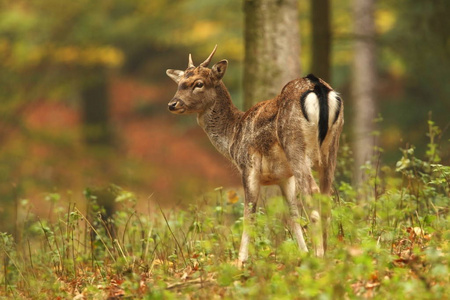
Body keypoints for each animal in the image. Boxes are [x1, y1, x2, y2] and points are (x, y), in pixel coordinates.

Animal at [166, 45, 344, 264]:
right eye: (179, 83)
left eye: (198, 83)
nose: (173, 104)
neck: (234, 136)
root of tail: (317, 86)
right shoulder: (284, 177)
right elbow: (292, 214)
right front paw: (303, 253)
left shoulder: (248, 166)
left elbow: (248, 214)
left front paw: (241, 260)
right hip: (331, 148)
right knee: (326, 195)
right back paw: (326, 253)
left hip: (295, 146)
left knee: (312, 190)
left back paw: (319, 254)